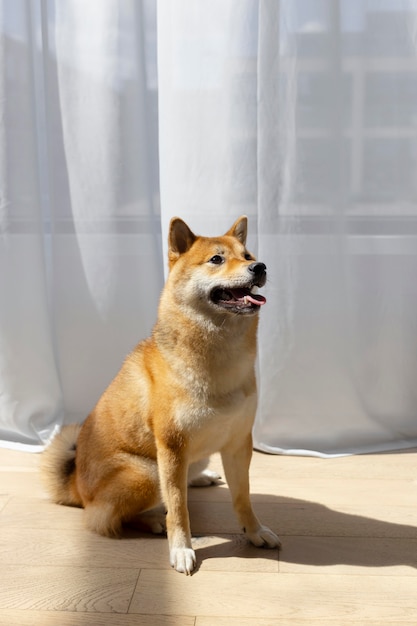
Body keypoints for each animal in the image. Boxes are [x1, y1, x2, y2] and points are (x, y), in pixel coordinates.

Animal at [41, 217, 280, 572]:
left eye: (248, 255)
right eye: (216, 259)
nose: (260, 266)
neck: (219, 360)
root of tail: (77, 487)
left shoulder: (238, 443)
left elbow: (243, 497)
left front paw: (255, 532)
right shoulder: (172, 447)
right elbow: (179, 508)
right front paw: (181, 548)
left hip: (191, 459)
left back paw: (201, 477)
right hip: (147, 474)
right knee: (106, 518)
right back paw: (154, 520)